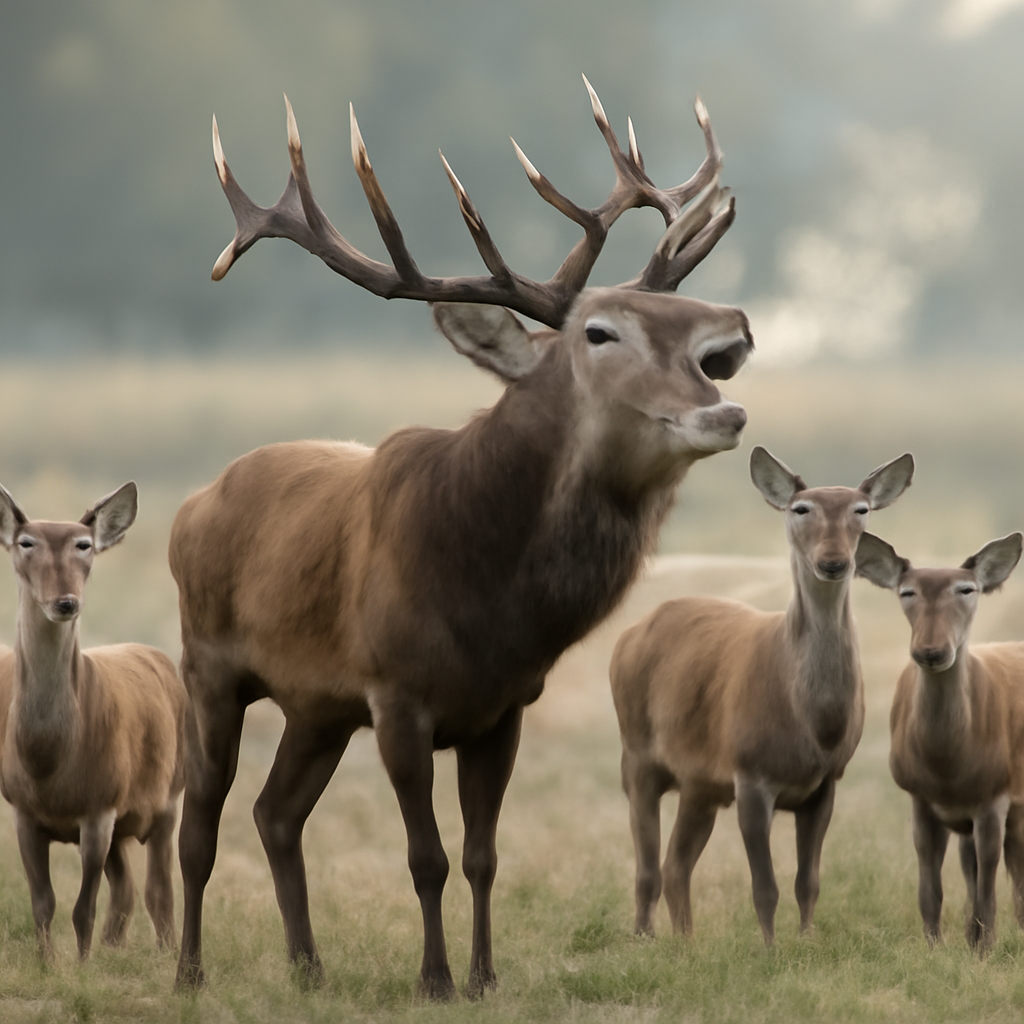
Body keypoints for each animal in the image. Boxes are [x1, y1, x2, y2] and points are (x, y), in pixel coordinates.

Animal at [0, 482, 187, 961]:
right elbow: (43, 903)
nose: (66, 601)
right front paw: (48, 963)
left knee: (159, 891)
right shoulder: (23, 809)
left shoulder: (100, 804)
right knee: (126, 890)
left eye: (83, 545)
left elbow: (82, 908)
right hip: (124, 827)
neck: (48, 761)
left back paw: (164, 953)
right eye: (26, 543)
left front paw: (83, 967)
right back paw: (114, 948)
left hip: (169, 795)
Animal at [171, 77, 752, 998]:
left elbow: (482, 857)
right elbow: (427, 857)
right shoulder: (396, 694)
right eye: (601, 331)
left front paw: (484, 976)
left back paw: (308, 968)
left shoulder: (501, 708)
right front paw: (435, 978)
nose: (731, 338)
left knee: (274, 813)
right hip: (208, 663)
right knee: (200, 820)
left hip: (318, 706)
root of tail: (191, 506)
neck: (486, 608)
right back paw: (190, 971)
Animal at [609, 446, 914, 944]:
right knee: (648, 866)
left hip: (700, 784)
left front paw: (807, 940)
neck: (813, 725)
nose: (833, 561)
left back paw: (687, 943)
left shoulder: (826, 782)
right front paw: (769, 948)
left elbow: (808, 881)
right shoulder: (750, 772)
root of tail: (629, 635)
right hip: (636, 753)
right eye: (801, 509)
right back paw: (643, 938)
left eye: (861, 509)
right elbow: (764, 886)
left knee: (675, 865)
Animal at [855, 530, 1024, 952]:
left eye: (966, 589)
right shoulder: (919, 797)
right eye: (907, 591)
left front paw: (985, 951)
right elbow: (930, 891)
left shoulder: (995, 795)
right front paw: (935, 948)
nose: (930, 651)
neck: (948, 768)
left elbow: (988, 891)